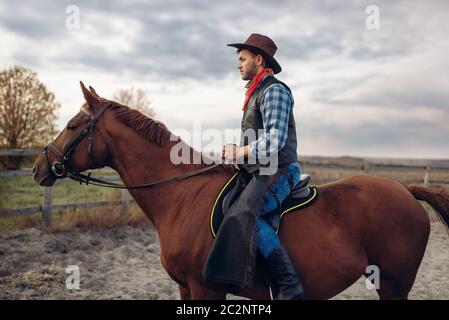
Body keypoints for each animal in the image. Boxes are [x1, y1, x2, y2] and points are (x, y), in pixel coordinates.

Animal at [32, 82, 448, 300]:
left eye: (72, 126)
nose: (39, 166)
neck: (180, 196)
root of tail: (405, 191)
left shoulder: (206, 288)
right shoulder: (185, 287)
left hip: (394, 283)